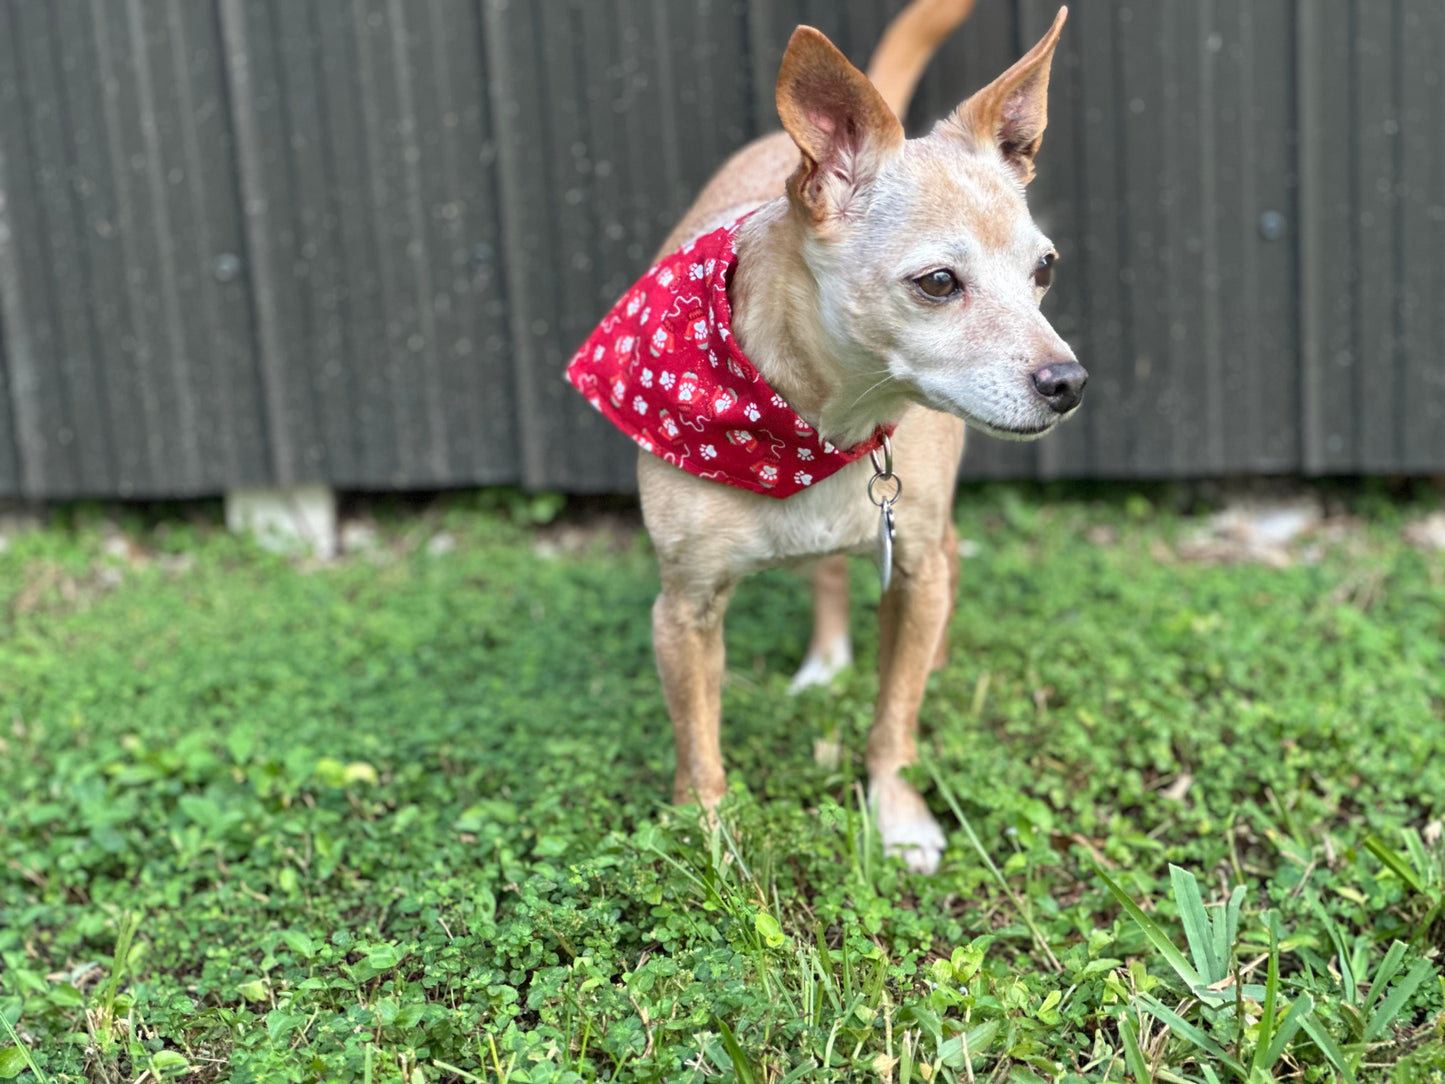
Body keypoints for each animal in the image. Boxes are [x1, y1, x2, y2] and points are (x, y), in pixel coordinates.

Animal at [569, 0, 1080, 872]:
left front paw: (896, 813)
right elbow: (697, 749)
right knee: (829, 575)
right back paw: (828, 660)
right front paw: (706, 841)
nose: (1068, 381)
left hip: (928, 532)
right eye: (937, 283)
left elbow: (893, 720)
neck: (815, 426)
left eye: (1042, 270)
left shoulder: (911, 571)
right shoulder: (683, 612)